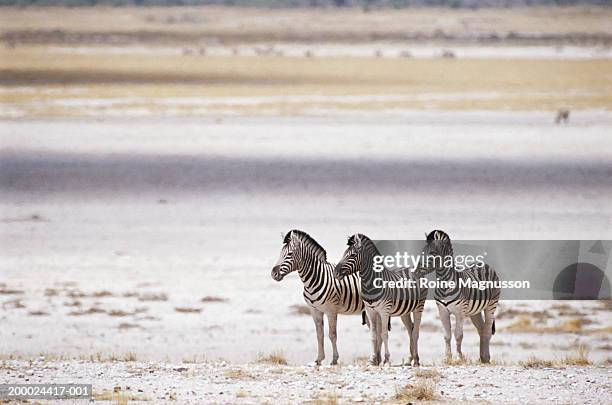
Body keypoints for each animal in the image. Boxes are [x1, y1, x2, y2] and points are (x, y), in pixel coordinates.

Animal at [272, 229, 366, 364]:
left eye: (290, 254)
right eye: (280, 253)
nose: (273, 273)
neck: (313, 279)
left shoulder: (331, 311)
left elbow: (332, 334)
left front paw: (334, 360)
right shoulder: (314, 310)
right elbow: (319, 335)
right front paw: (319, 359)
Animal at [332, 232, 428, 364]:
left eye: (353, 255)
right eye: (343, 253)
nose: (335, 273)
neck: (370, 284)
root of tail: (414, 268)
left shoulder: (384, 311)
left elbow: (384, 334)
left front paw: (386, 359)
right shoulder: (370, 311)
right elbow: (373, 335)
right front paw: (373, 359)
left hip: (419, 307)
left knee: (415, 332)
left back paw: (416, 360)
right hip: (405, 311)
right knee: (410, 329)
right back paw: (410, 358)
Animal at [420, 230, 502, 362]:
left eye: (432, 253)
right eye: (422, 251)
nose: (416, 271)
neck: (445, 284)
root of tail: (483, 264)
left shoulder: (459, 312)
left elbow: (458, 335)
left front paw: (459, 357)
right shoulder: (442, 311)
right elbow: (447, 335)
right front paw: (447, 358)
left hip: (491, 305)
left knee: (487, 330)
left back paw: (486, 358)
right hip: (475, 312)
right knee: (481, 329)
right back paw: (482, 357)